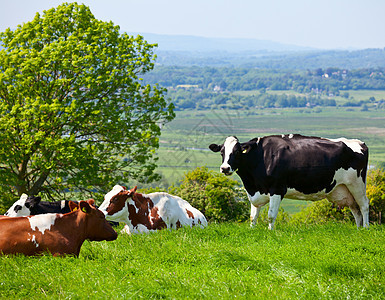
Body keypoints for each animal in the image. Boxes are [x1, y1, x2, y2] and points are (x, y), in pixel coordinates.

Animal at [208, 134, 370, 230]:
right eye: (222, 152)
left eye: (236, 152)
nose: (225, 168)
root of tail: (359, 142)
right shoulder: (255, 191)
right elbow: (253, 216)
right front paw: (251, 230)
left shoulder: (277, 189)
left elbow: (271, 215)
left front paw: (270, 232)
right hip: (345, 189)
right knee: (355, 209)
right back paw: (358, 229)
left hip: (357, 184)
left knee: (364, 205)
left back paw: (366, 228)